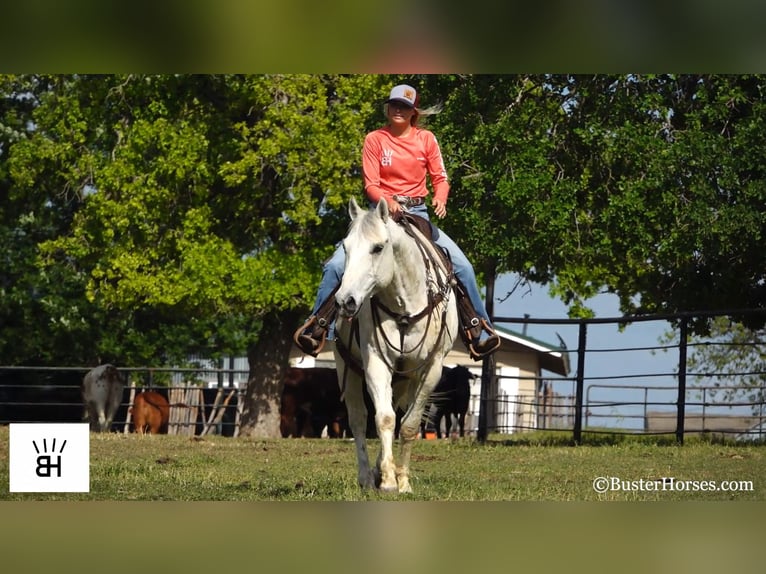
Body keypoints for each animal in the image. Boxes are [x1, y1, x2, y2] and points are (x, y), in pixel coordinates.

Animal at [334, 199, 456, 496]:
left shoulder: (430, 369)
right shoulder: (376, 362)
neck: (404, 306)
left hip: (404, 379)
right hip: (347, 368)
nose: (345, 301)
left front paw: (402, 481)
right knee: (358, 418)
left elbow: (409, 424)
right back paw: (368, 477)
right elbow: (384, 419)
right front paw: (388, 480)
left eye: (378, 247)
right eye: (345, 247)